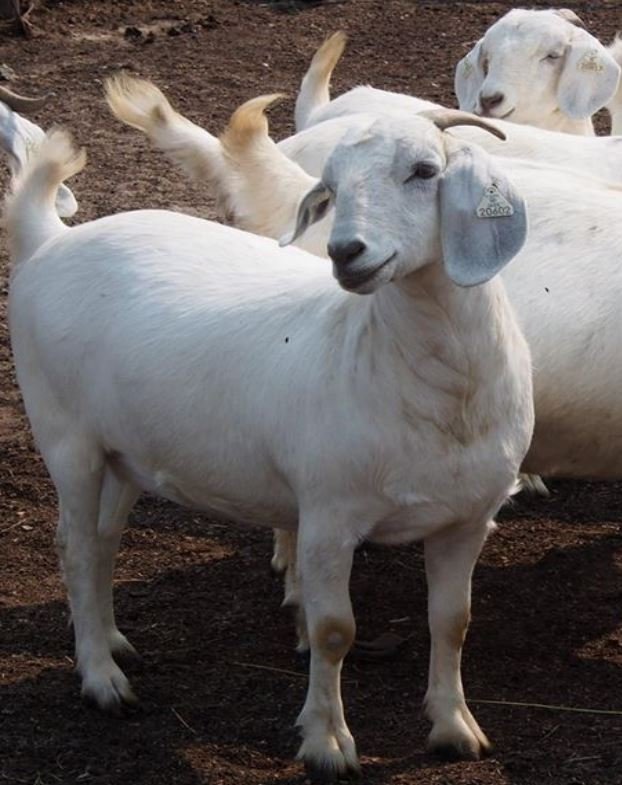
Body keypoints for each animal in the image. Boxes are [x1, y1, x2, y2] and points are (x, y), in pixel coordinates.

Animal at [7, 115, 532, 776]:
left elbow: (453, 622)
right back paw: (101, 679)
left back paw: (110, 643)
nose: (345, 252)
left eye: (424, 172)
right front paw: (327, 741)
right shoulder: (329, 516)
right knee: (74, 549)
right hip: (64, 434)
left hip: (121, 455)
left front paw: (454, 727)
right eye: (331, 188)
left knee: (101, 544)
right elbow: (334, 630)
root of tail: (50, 238)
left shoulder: (468, 519)